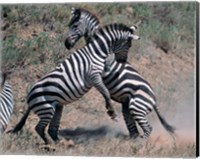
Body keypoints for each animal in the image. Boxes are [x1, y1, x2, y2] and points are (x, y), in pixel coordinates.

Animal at [9, 22, 138, 144]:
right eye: (129, 45)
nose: (122, 61)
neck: (96, 52)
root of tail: (29, 98)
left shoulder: (100, 73)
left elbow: (106, 81)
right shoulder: (94, 76)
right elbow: (105, 92)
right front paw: (111, 112)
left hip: (56, 106)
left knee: (51, 129)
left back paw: (60, 143)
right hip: (46, 109)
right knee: (39, 128)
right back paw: (50, 144)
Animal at [64, 7, 175, 139]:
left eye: (75, 26)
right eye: (68, 25)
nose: (66, 44)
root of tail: (154, 100)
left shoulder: (104, 67)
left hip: (137, 107)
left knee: (147, 128)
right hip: (129, 106)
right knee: (133, 128)